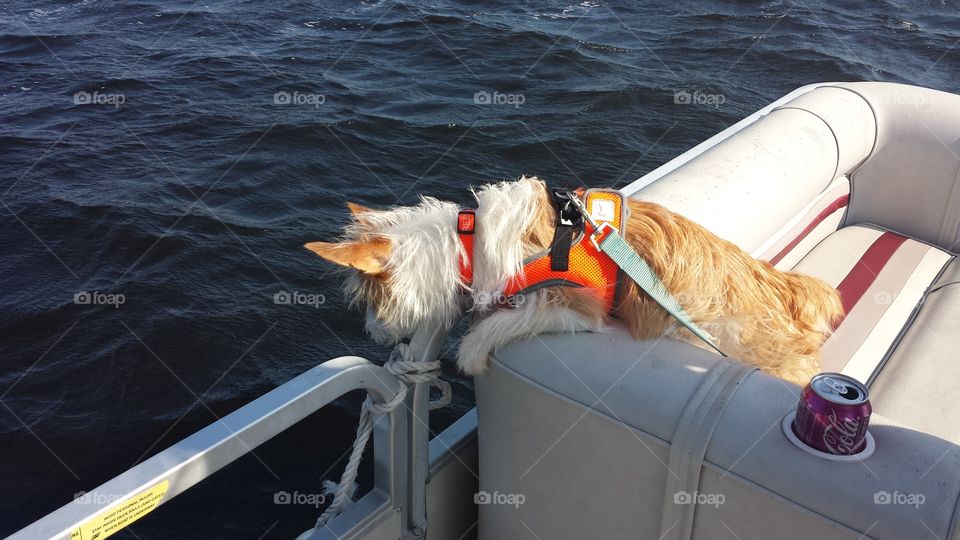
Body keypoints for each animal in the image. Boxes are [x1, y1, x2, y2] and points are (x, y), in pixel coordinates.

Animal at [306, 176, 840, 384]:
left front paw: (472, 352)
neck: (470, 242)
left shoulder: (579, 308)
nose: (373, 334)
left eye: (370, 300)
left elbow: (503, 323)